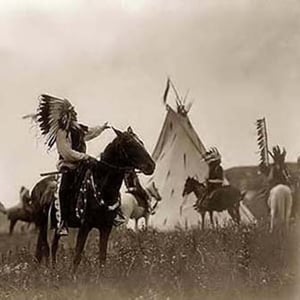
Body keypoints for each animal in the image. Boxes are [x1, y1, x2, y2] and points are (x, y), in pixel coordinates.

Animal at [35, 125, 156, 270]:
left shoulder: (106, 228)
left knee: (53, 247)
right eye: (129, 143)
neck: (103, 188)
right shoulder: (85, 226)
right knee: (44, 249)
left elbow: (102, 257)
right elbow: (77, 256)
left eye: (141, 142)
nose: (151, 165)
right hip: (45, 227)